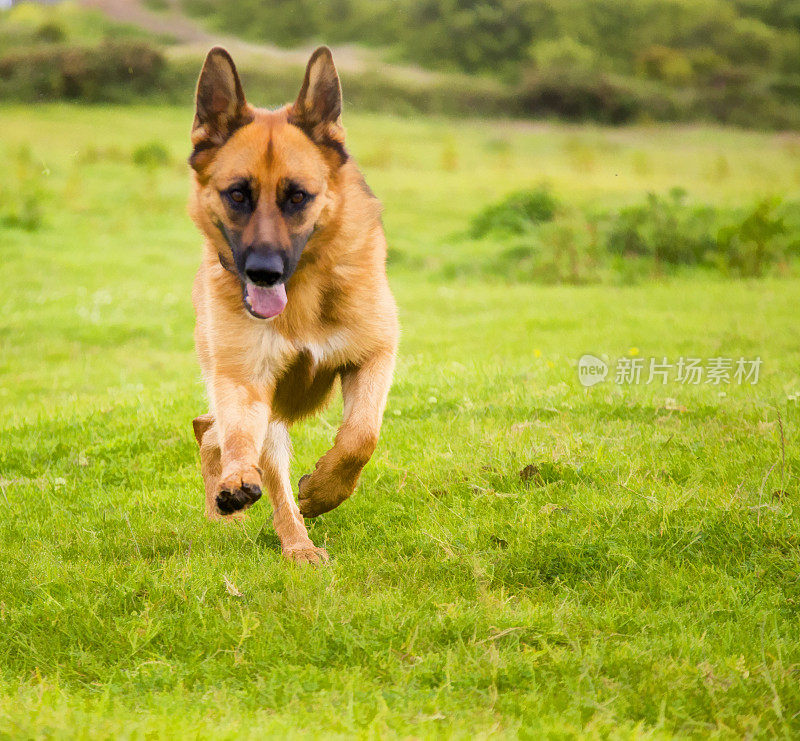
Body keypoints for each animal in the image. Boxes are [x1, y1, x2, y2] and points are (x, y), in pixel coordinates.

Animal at [188, 46, 400, 564]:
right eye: (237, 194)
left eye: (297, 197)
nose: (264, 273)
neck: (303, 294)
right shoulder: (248, 381)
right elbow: (247, 450)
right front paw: (243, 489)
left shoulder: (375, 355)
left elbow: (361, 436)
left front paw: (322, 491)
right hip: (258, 405)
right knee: (219, 436)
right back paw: (291, 544)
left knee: (208, 428)